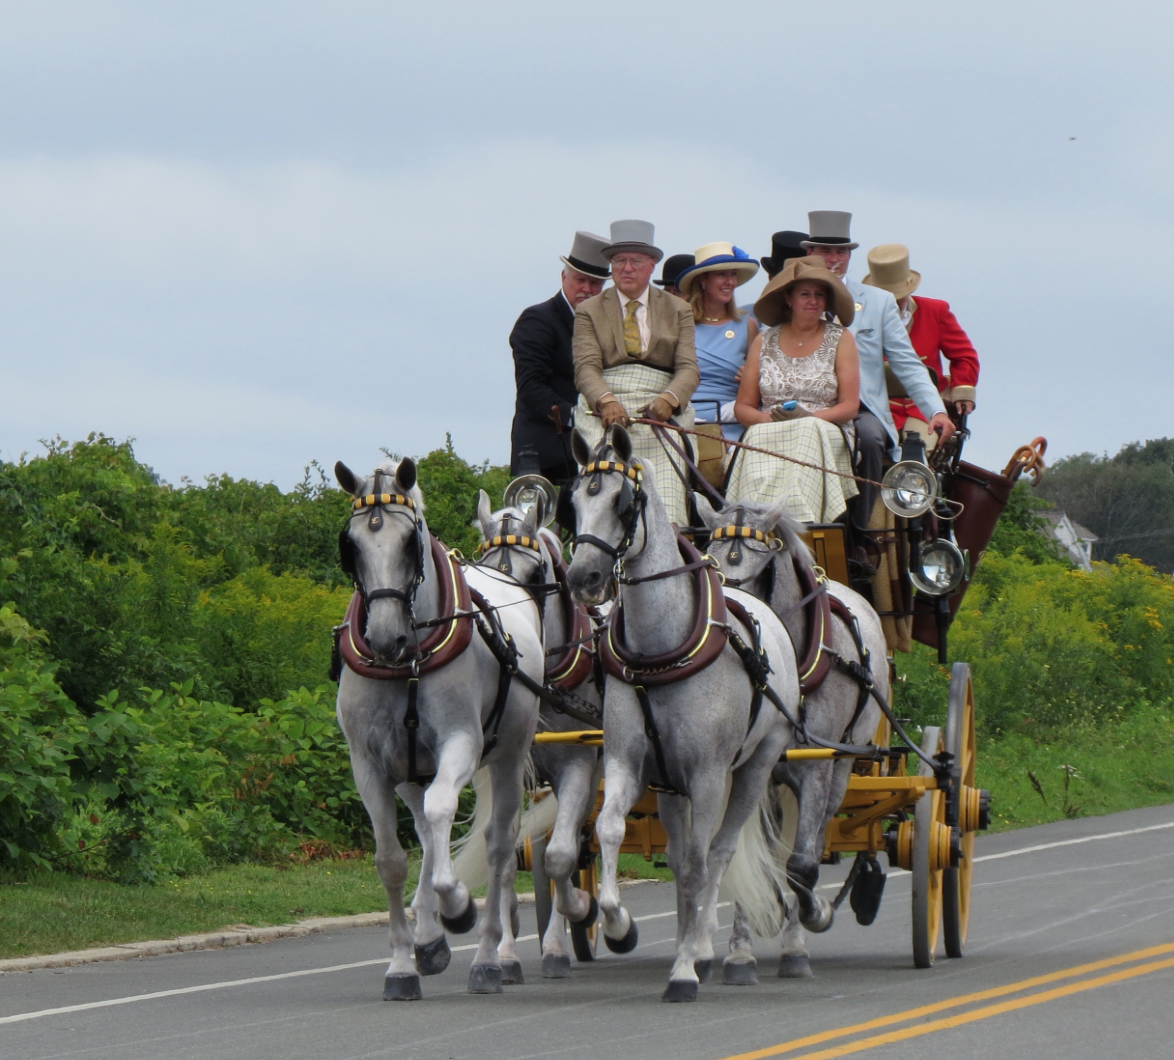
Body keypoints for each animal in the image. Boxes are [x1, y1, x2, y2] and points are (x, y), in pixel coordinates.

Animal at [333, 460, 542, 1000]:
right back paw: (429, 938)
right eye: (351, 545)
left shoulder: (461, 745)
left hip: (509, 756)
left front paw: (458, 907)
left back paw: (490, 957)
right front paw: (403, 964)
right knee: (427, 832)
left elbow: (446, 812)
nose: (384, 637)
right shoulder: (370, 765)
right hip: (412, 769)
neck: (407, 664)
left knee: (497, 844)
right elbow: (392, 858)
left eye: (412, 541)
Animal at [471, 493, 605, 981]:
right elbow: (510, 858)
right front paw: (506, 951)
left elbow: (561, 857)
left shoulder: (579, 765)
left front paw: (578, 915)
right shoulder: (508, 768)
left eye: (532, 576)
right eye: (484, 566)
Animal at [561, 424, 798, 1004]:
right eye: (573, 500)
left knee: (717, 853)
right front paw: (619, 926)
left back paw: (708, 949)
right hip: (671, 789)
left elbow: (699, 864)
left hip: (754, 768)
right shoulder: (628, 762)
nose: (583, 577)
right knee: (678, 853)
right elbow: (610, 829)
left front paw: (687, 968)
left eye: (624, 503)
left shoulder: (710, 777)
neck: (660, 651)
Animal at [699, 497, 882, 976]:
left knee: (812, 846)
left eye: (757, 569)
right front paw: (740, 951)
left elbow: (802, 865)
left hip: (841, 766)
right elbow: (747, 860)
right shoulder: (752, 770)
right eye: (710, 561)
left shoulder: (815, 769)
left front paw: (809, 922)